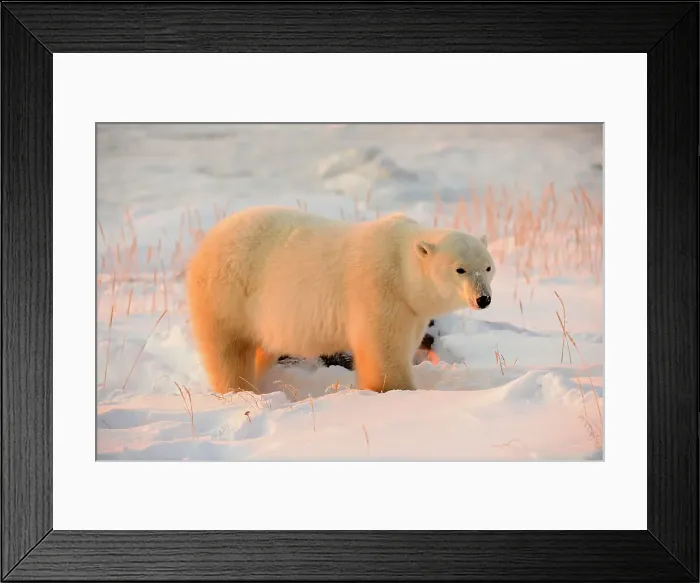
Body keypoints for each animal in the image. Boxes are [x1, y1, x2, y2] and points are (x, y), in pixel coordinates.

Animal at [185, 205, 495, 395]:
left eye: (488, 267)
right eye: (460, 269)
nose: (483, 299)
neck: (401, 266)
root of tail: (208, 239)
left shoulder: (411, 309)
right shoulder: (379, 291)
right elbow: (383, 352)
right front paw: (400, 391)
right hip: (228, 293)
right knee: (229, 349)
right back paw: (240, 390)